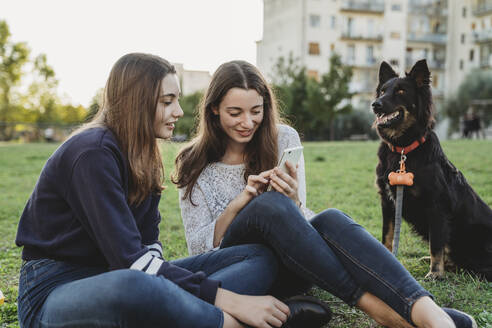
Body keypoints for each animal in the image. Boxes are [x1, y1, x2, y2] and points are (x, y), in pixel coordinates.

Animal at [372, 59, 492, 280]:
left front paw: (435, 273)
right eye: (382, 91)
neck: (403, 149)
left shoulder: (436, 206)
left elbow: (436, 243)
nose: (375, 104)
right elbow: (387, 236)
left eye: (401, 91)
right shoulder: (388, 202)